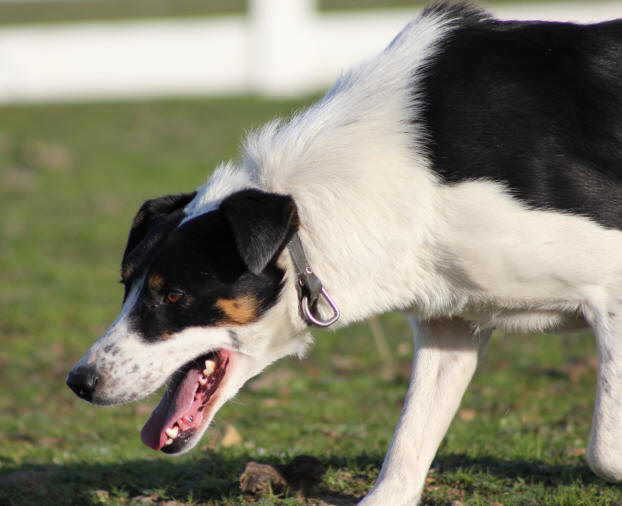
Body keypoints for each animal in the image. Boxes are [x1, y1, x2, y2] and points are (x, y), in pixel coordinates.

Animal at [66, 1, 622, 504]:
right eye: (126, 286)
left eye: (174, 295)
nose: (79, 382)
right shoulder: (450, 327)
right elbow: (404, 455)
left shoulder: (611, 293)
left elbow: (605, 450)